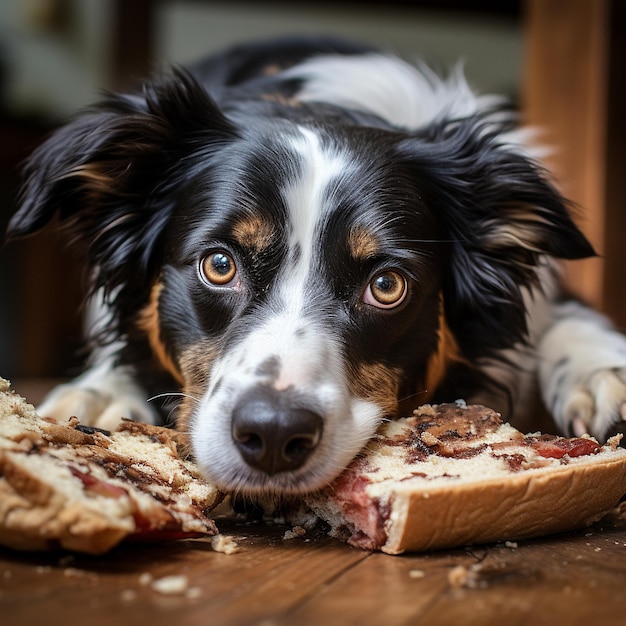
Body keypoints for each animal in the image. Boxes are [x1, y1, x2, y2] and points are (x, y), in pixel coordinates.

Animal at [4, 37, 624, 498]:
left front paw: (605, 372)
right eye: (219, 265)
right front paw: (100, 392)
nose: (274, 435)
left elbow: (573, 321)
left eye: (386, 285)